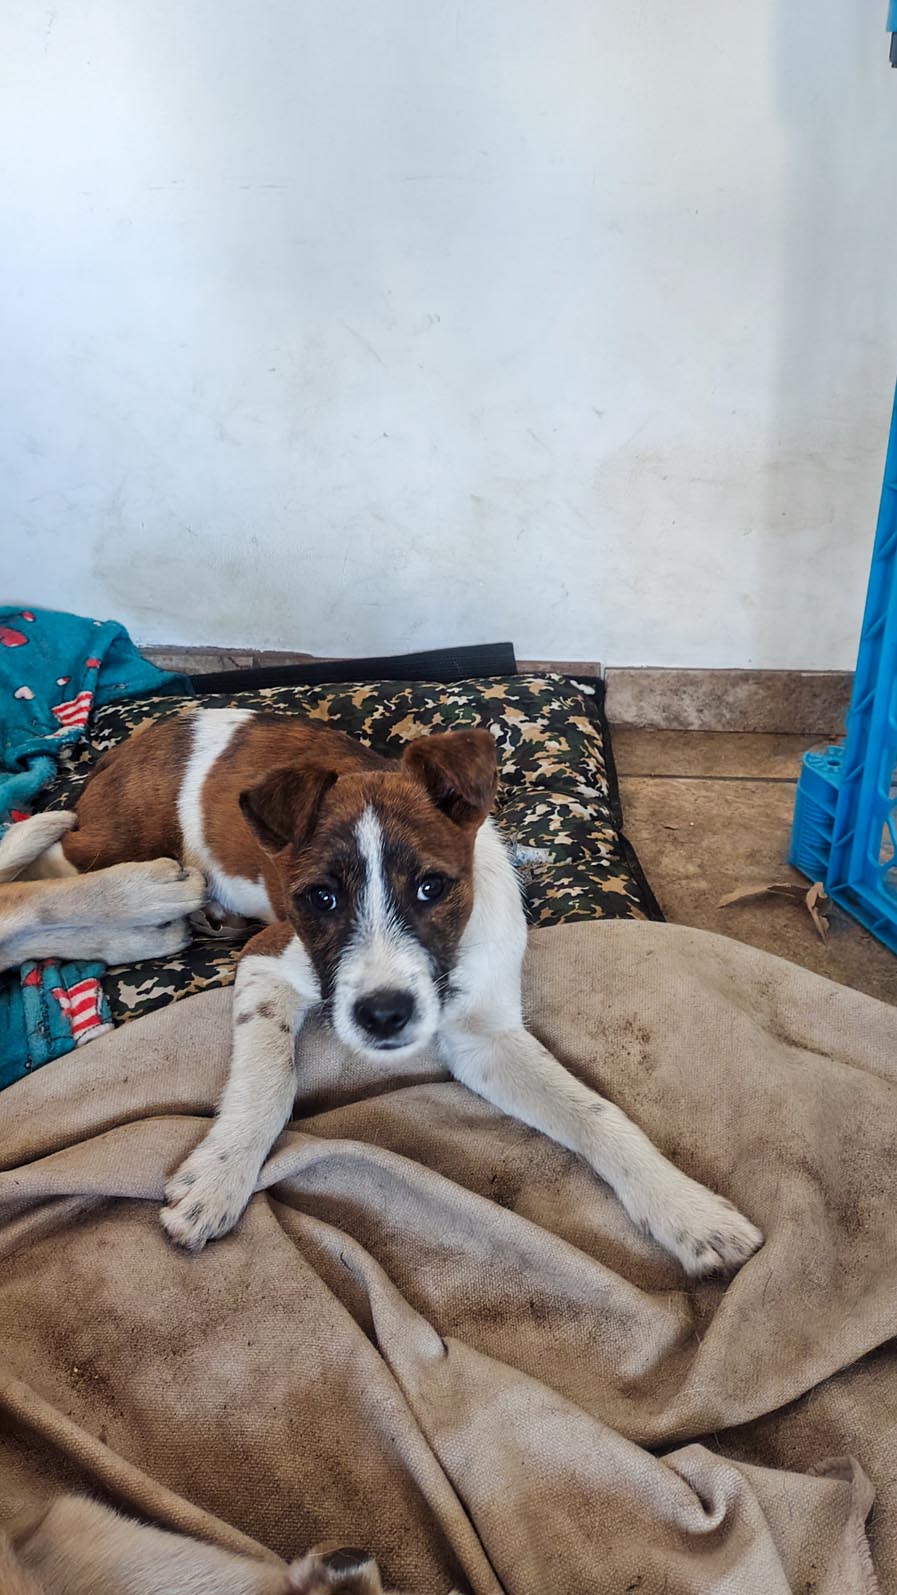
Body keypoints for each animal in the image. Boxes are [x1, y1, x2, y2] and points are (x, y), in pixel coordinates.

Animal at [16, 707, 762, 1275]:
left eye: (433, 886)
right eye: (319, 897)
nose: (383, 1016)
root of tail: (136, 738)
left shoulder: (485, 1037)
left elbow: (595, 1111)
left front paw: (685, 1208)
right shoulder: (268, 960)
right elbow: (270, 1081)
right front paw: (220, 1177)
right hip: (112, 843)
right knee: (39, 867)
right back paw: (141, 902)